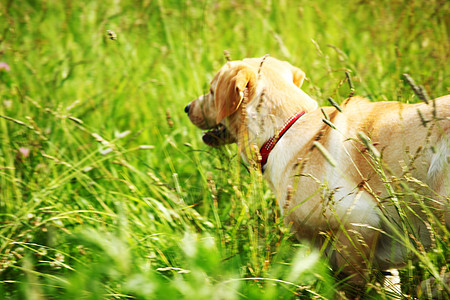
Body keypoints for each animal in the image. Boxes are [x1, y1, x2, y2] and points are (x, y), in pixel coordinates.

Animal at [184, 56, 450, 290]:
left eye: (211, 91)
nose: (186, 108)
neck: (285, 129)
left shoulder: (360, 221)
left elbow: (350, 284)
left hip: (439, 201)